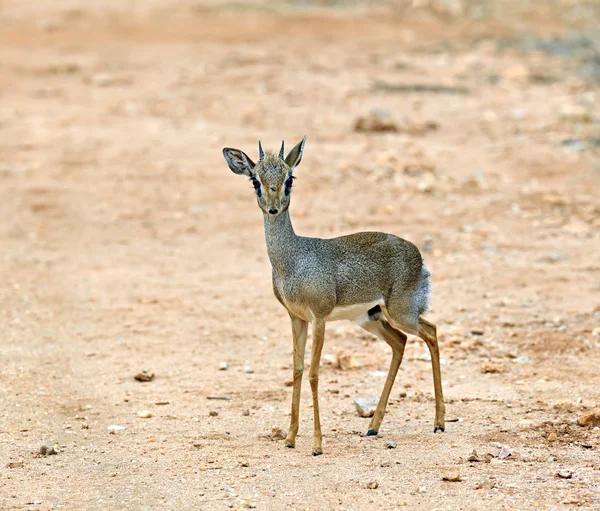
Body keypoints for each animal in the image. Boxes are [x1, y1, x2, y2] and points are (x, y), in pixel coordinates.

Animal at [223, 139, 442, 456]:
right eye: (255, 180)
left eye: (289, 179)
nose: (274, 209)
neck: (293, 261)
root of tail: (417, 255)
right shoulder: (296, 318)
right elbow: (298, 370)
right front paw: (290, 438)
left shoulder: (320, 318)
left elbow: (314, 373)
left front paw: (316, 444)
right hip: (371, 318)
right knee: (400, 343)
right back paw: (373, 426)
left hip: (402, 313)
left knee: (432, 333)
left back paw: (439, 423)